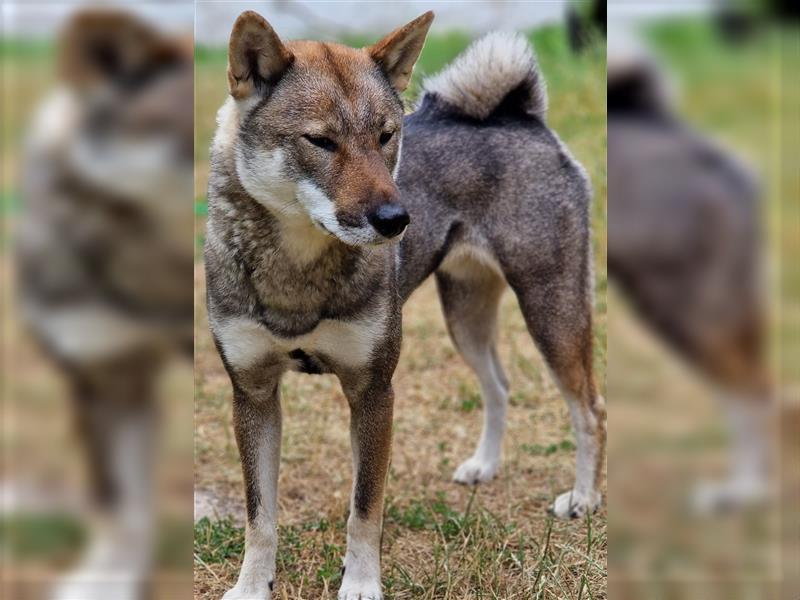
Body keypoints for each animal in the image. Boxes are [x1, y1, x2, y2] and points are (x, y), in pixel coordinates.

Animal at [206, 10, 608, 600]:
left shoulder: (374, 392)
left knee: (590, 410)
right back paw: (485, 465)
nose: (397, 220)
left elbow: (364, 509)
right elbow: (260, 515)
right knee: (499, 385)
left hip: (551, 311)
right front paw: (253, 585)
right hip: (465, 316)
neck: (299, 267)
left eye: (386, 136)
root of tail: (521, 116)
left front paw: (360, 583)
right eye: (320, 141)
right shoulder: (253, 395)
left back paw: (584, 498)